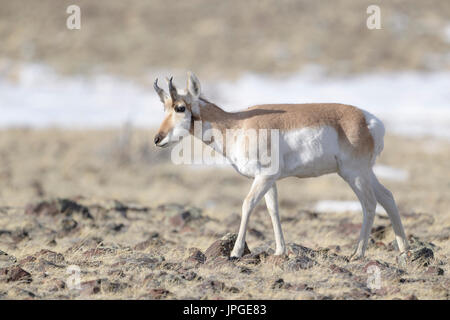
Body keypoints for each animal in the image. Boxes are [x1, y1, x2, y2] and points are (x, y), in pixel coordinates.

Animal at [153, 72, 410, 260]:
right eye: (164, 107)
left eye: (180, 107)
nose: (157, 139)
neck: (236, 125)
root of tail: (370, 121)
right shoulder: (270, 180)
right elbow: (273, 210)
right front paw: (279, 250)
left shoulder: (264, 177)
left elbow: (247, 205)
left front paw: (236, 251)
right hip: (366, 173)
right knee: (387, 197)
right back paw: (405, 251)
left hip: (354, 174)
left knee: (369, 204)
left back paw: (358, 253)